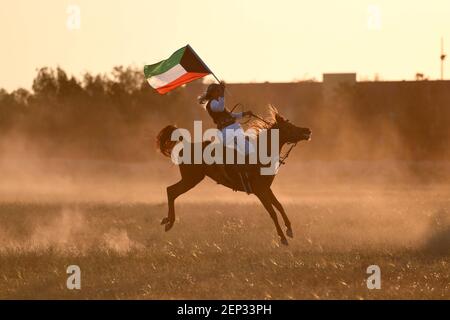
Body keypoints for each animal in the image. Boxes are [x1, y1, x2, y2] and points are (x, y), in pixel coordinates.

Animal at [156, 105, 312, 245]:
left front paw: (289, 229)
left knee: (171, 191)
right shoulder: (260, 191)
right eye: (289, 126)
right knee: (171, 191)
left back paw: (167, 221)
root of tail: (186, 145)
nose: (307, 130)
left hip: (190, 179)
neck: (260, 153)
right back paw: (169, 222)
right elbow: (272, 212)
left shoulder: (267, 188)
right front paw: (283, 238)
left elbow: (279, 206)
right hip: (191, 179)